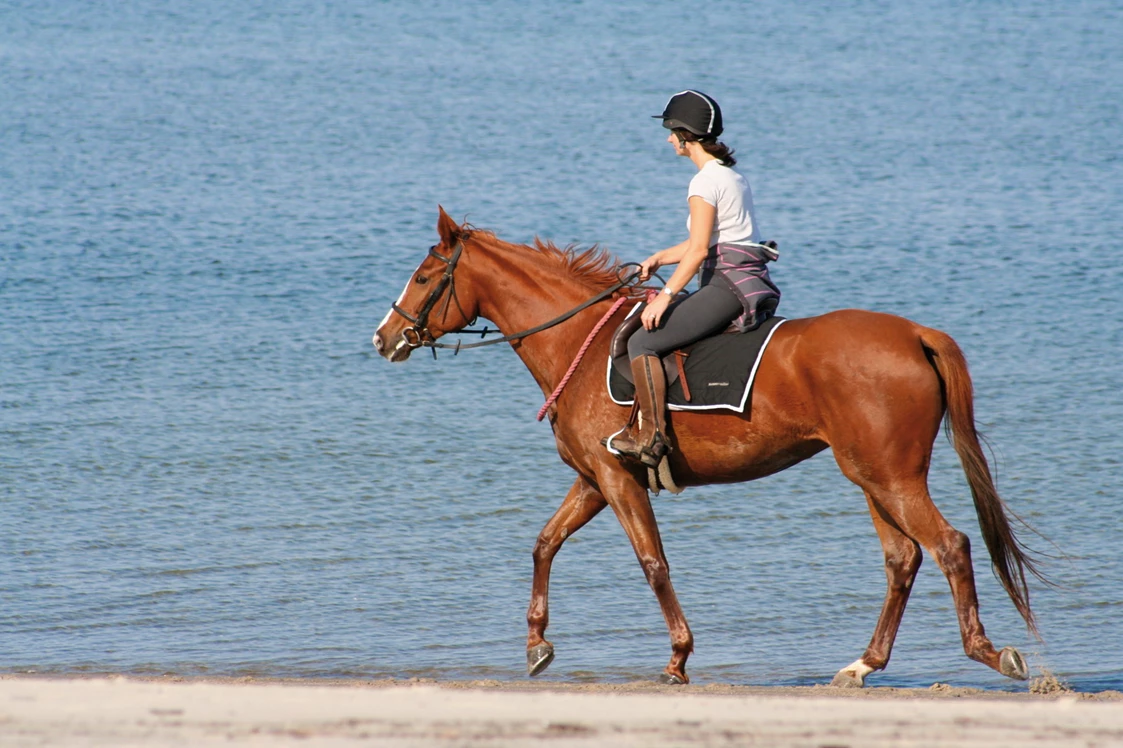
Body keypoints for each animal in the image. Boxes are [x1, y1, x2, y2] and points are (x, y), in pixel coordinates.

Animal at [375, 206, 1042, 682]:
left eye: (425, 277)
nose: (384, 338)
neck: (577, 346)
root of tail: (914, 334)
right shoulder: (595, 479)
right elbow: (544, 545)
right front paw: (538, 644)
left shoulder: (617, 479)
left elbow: (653, 564)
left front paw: (677, 659)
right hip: (873, 476)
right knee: (903, 558)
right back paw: (863, 665)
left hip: (889, 477)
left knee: (948, 546)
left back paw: (988, 652)